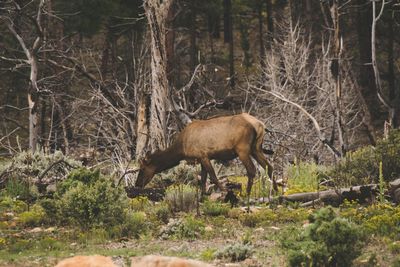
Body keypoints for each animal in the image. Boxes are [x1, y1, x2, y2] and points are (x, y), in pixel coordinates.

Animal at [135, 113, 276, 199]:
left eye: (142, 168)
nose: (137, 184)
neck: (181, 148)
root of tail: (260, 125)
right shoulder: (201, 158)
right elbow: (203, 179)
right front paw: (203, 195)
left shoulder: (203, 155)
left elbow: (212, 177)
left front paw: (225, 191)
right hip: (256, 148)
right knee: (269, 167)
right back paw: (275, 191)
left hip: (243, 149)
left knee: (251, 170)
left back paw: (247, 194)